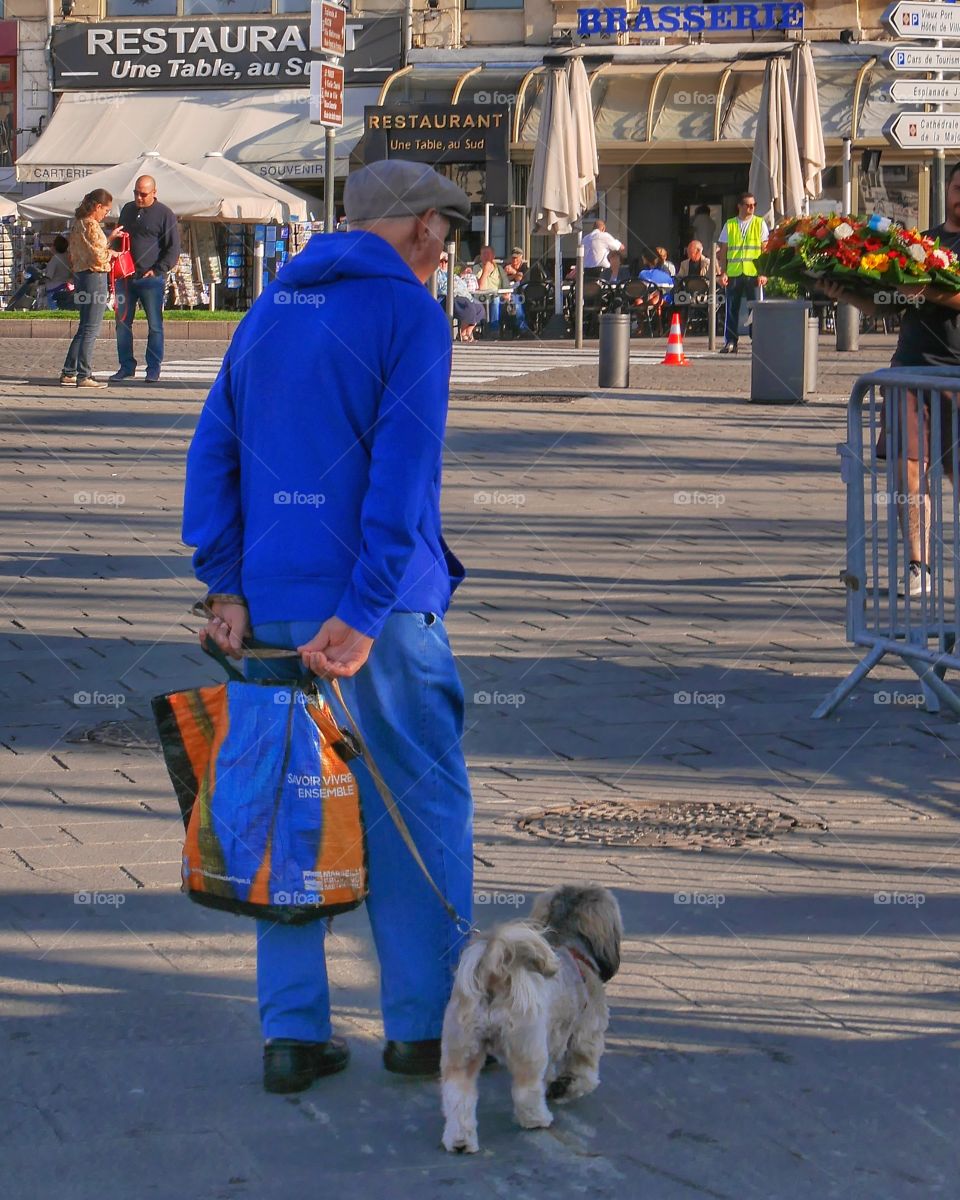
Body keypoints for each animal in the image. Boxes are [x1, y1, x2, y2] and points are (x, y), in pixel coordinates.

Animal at [441, 883, 624, 1152]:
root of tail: (495, 973)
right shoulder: (587, 1032)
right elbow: (583, 1072)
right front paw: (565, 1088)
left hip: (462, 1049)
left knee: (458, 1095)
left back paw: (460, 1140)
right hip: (527, 1048)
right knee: (525, 1091)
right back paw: (537, 1119)